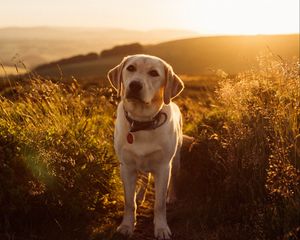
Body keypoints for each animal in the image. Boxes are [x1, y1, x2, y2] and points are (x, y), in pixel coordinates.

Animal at [107, 54, 183, 240]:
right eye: (131, 68)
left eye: (154, 73)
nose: (135, 85)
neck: (142, 122)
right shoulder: (126, 167)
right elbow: (129, 202)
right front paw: (127, 226)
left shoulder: (163, 167)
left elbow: (159, 204)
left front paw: (162, 228)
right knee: (144, 178)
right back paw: (140, 196)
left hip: (176, 160)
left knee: (174, 180)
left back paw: (172, 197)